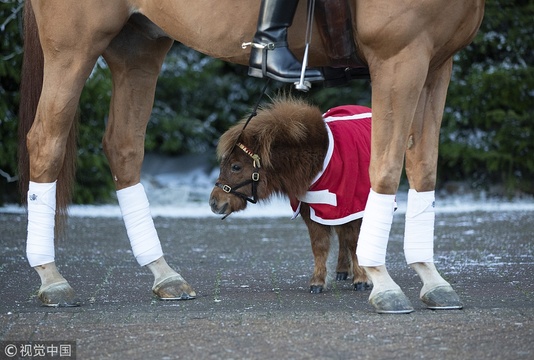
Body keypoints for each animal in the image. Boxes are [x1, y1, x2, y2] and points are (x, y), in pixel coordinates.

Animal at [211, 97, 374, 294]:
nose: (214, 202)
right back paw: (342, 270)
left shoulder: (353, 207)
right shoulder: (313, 210)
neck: (317, 159)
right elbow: (320, 245)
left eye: (236, 166)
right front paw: (317, 281)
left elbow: (354, 242)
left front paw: (361, 279)